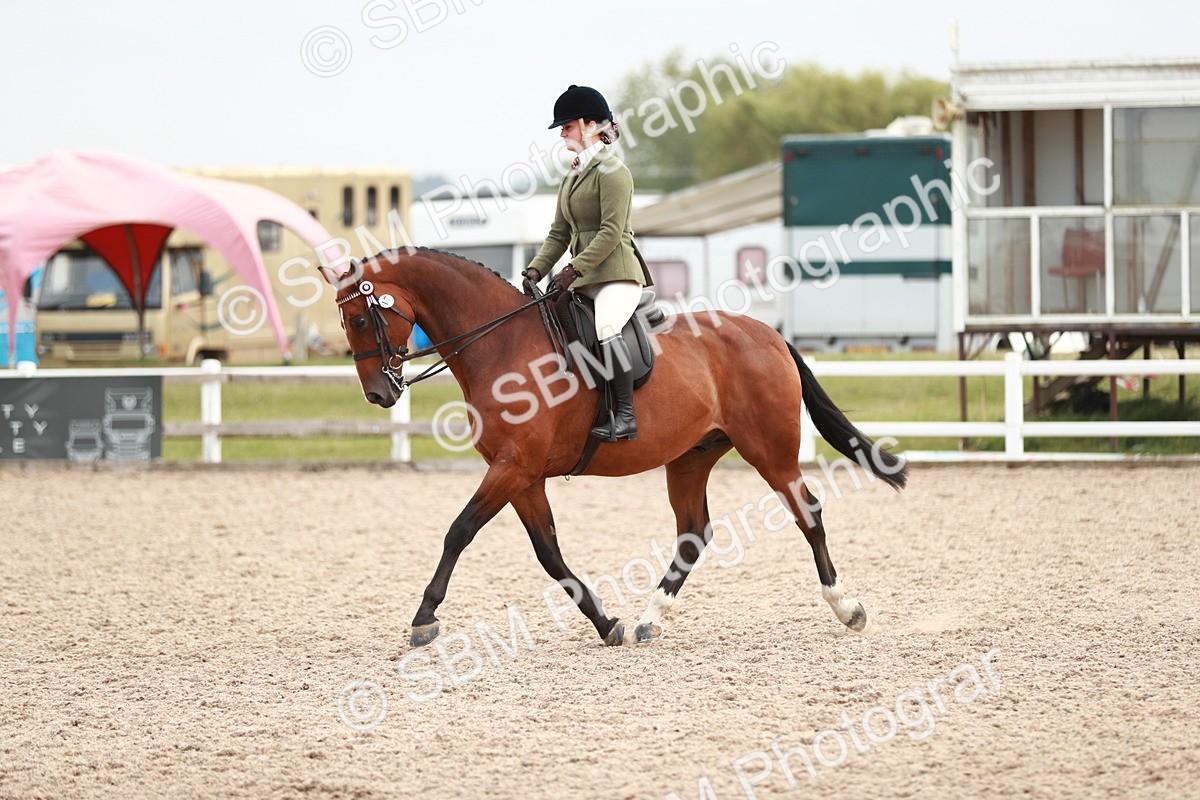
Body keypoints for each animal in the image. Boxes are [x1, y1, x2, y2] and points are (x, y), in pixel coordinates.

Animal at [318, 247, 907, 648]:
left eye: (358, 318)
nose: (379, 394)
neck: (501, 345)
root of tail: (768, 334)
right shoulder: (523, 476)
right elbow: (549, 553)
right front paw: (606, 623)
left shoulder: (513, 467)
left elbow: (458, 531)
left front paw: (424, 619)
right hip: (691, 457)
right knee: (693, 532)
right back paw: (649, 619)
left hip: (771, 451)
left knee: (808, 513)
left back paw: (847, 608)